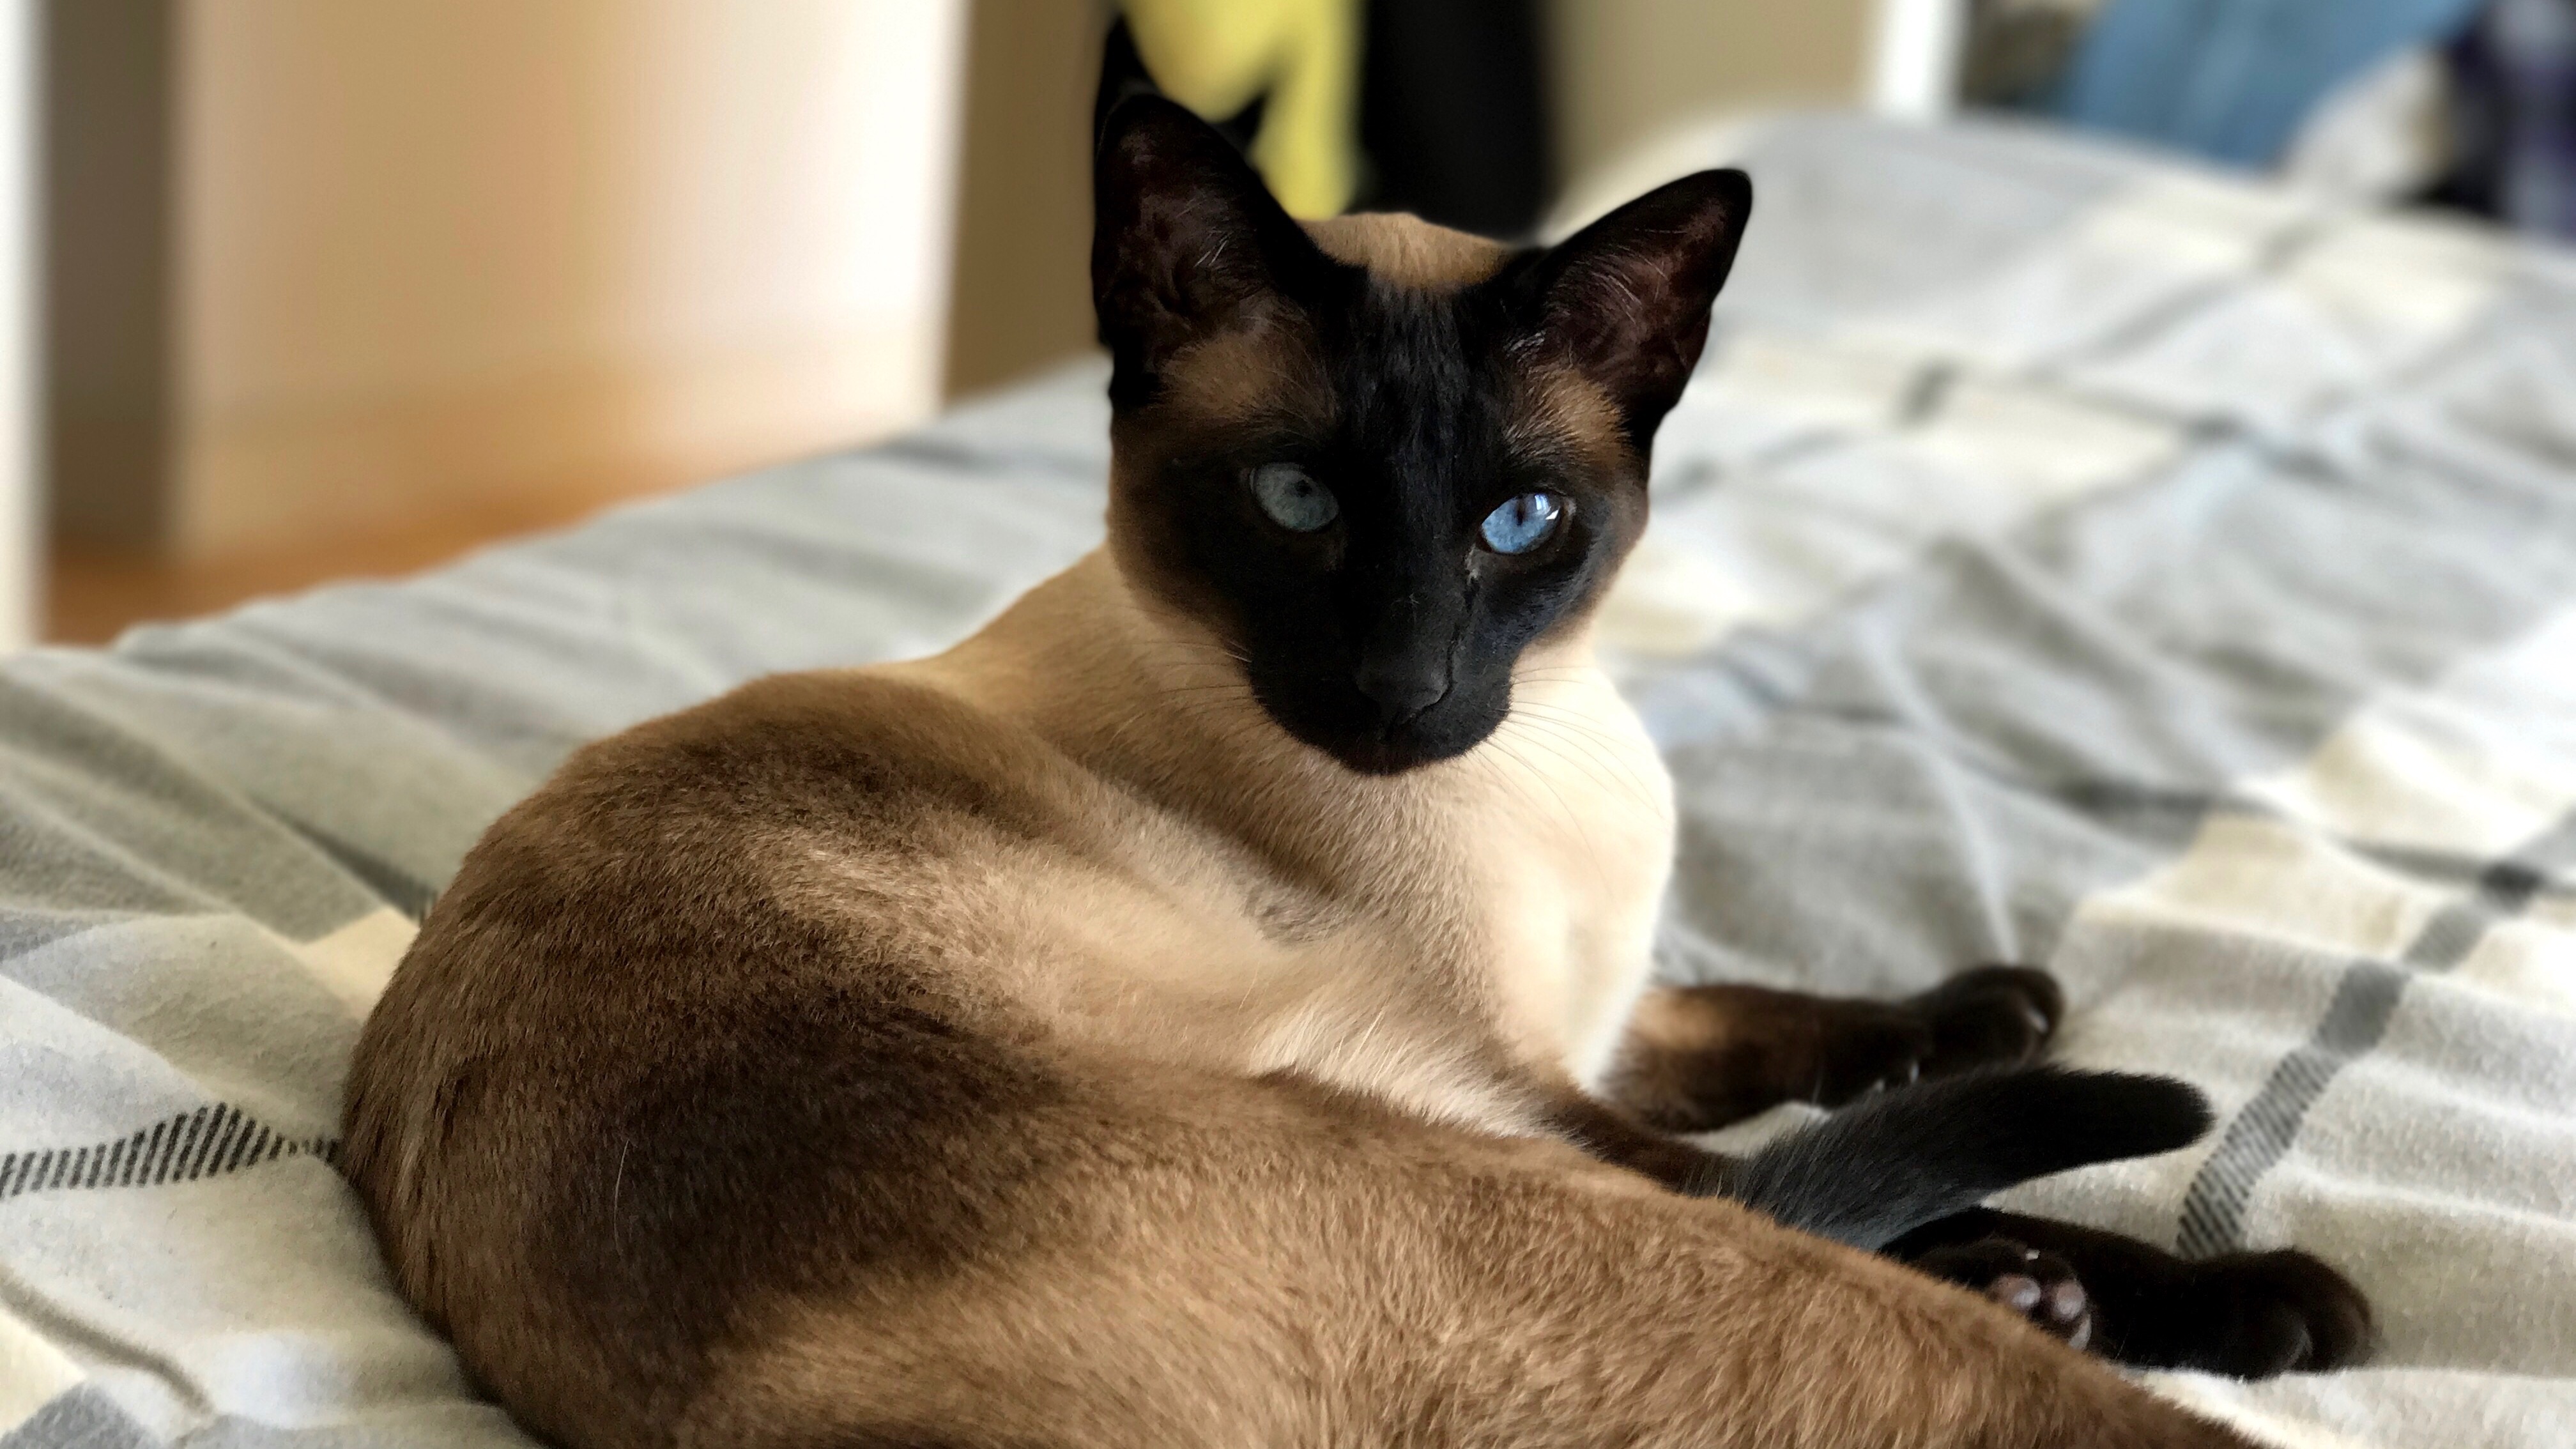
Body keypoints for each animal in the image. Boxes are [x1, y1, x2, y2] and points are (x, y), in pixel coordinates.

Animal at [348, 82, 2370, 1443]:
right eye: (1299, 503)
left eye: (1521, 522)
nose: (1407, 690)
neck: (1547, 754)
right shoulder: (1544, 1087)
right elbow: (1850, 1150)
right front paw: (2248, 1295)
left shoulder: (1587, 1030)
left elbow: (1800, 1021)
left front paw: (1998, 1005)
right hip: (1525, 1176)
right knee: (1880, 1241)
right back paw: (2163, 1299)